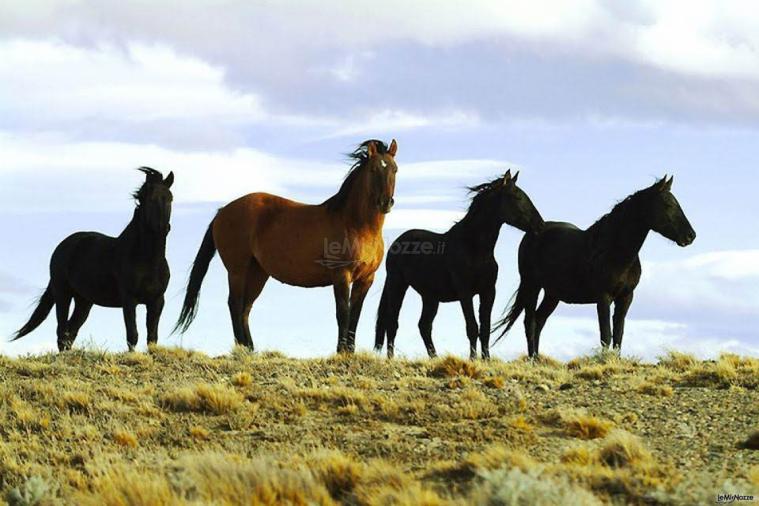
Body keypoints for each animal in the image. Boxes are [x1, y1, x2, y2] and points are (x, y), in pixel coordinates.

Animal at [12, 168, 174, 350]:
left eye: (170, 198)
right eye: (151, 199)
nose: (163, 228)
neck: (146, 260)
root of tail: (61, 247)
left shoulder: (157, 301)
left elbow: (152, 337)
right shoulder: (129, 300)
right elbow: (132, 335)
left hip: (84, 301)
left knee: (70, 332)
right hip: (63, 293)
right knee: (62, 331)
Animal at [173, 138, 398, 352]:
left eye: (394, 169)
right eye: (374, 169)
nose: (386, 203)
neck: (355, 224)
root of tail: (222, 212)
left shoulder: (366, 279)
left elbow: (355, 315)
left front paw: (350, 351)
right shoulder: (341, 275)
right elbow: (343, 313)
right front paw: (341, 352)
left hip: (257, 273)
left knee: (246, 308)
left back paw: (250, 349)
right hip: (237, 271)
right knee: (235, 304)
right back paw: (242, 348)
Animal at [372, 171, 540, 360]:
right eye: (517, 197)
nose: (540, 225)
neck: (474, 248)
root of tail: (396, 244)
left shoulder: (488, 292)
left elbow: (485, 328)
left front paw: (486, 359)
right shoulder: (465, 292)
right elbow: (472, 327)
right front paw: (473, 359)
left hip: (430, 296)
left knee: (424, 326)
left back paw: (435, 358)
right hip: (398, 285)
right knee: (392, 322)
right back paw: (390, 358)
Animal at [496, 176, 696, 358]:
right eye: (668, 205)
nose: (690, 236)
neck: (613, 251)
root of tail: (534, 232)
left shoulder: (626, 297)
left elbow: (618, 335)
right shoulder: (603, 298)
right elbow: (606, 335)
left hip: (552, 294)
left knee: (539, 321)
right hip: (532, 286)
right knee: (530, 322)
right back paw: (533, 360)